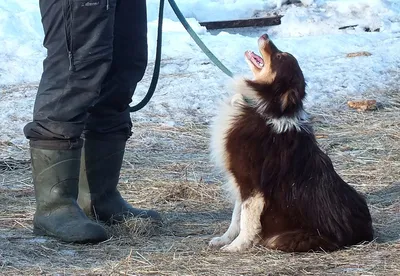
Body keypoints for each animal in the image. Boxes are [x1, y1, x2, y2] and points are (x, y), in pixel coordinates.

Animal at [208, 33, 374, 252]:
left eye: (279, 56)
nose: (265, 34)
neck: (264, 106)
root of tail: (365, 233)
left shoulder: (251, 183)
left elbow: (246, 218)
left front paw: (236, 246)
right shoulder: (240, 181)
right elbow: (236, 216)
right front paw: (224, 239)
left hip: (283, 239)